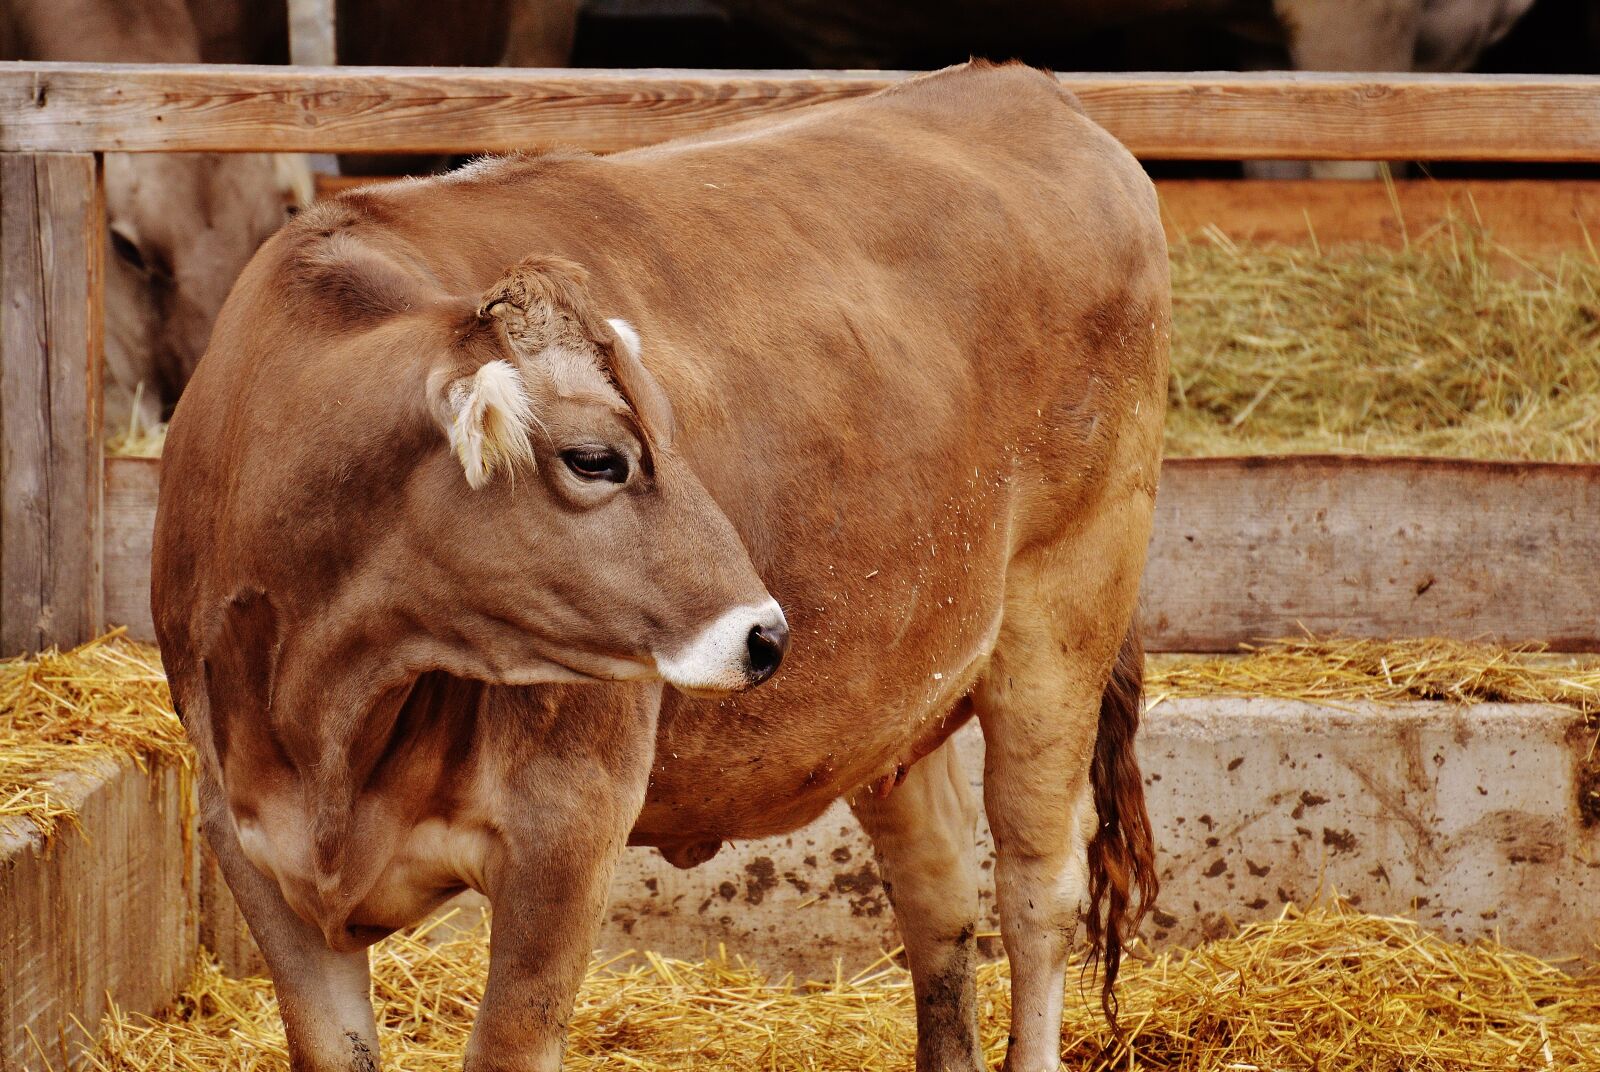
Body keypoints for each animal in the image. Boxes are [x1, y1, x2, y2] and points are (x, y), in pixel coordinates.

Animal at [152, 61, 1168, 1072]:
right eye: (595, 458)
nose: (767, 634)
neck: (331, 717)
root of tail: (1020, 87)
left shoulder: (569, 829)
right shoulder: (247, 839)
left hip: (1063, 623)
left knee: (1038, 892)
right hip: (893, 688)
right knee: (938, 886)